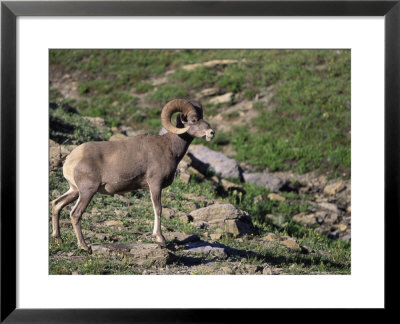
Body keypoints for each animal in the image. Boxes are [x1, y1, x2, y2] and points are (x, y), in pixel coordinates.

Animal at [52, 98, 216, 253]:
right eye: (193, 120)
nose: (211, 133)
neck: (169, 147)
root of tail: (70, 159)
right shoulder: (155, 184)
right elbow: (158, 209)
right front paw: (160, 238)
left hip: (74, 191)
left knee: (57, 204)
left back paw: (58, 239)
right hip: (87, 191)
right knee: (75, 214)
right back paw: (84, 246)